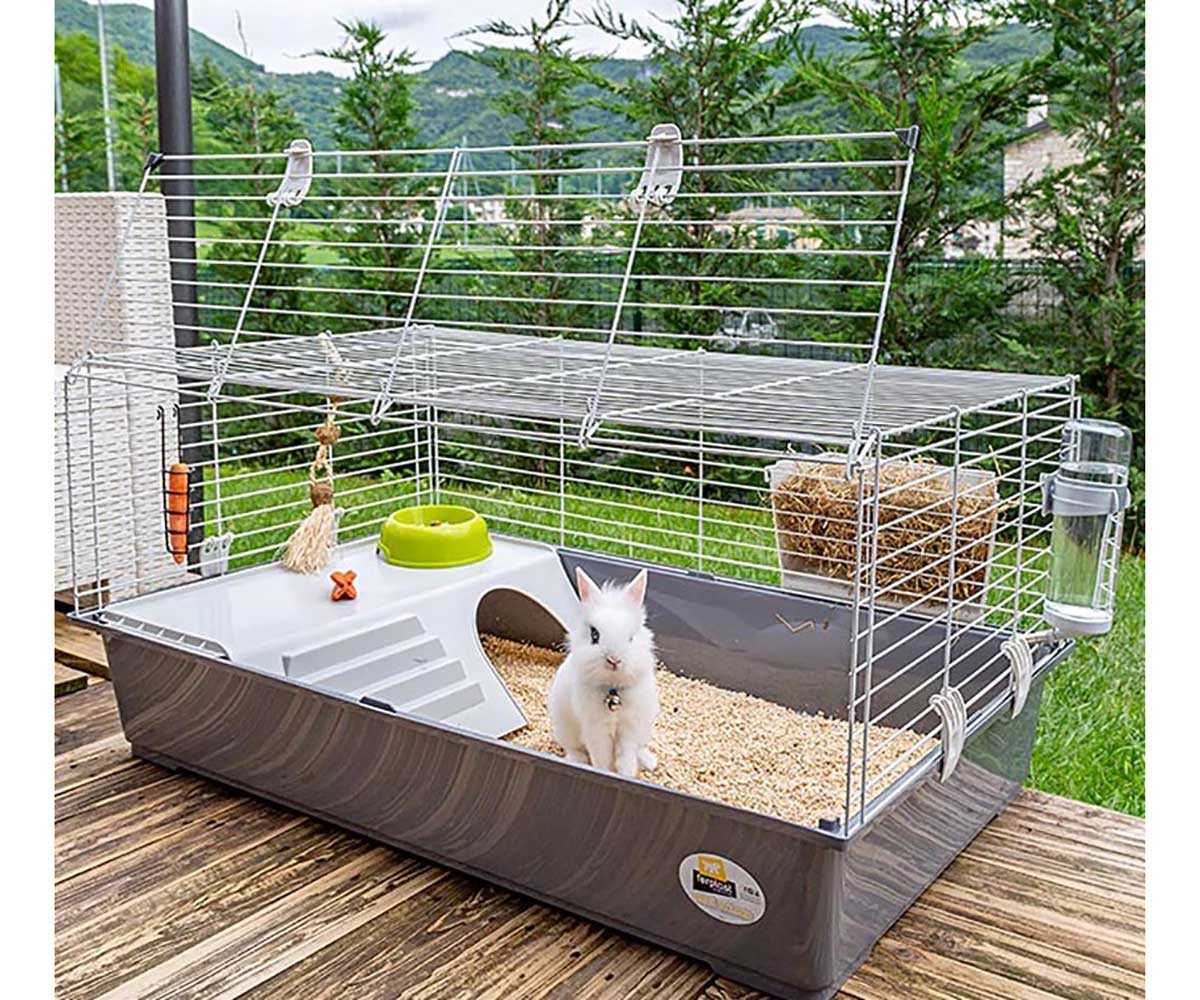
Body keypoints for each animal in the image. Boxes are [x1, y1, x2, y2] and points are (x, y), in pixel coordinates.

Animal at [548, 567, 659, 778]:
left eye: (631, 637)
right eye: (594, 634)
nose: (614, 660)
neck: (612, 689)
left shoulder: (629, 728)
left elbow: (626, 756)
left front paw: (626, 776)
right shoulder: (596, 729)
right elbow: (602, 757)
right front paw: (605, 773)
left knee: (639, 748)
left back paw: (650, 762)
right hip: (564, 728)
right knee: (573, 748)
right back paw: (577, 760)